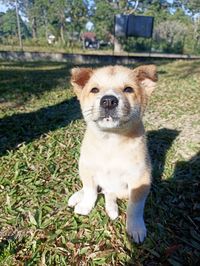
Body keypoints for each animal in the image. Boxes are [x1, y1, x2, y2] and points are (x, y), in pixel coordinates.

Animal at [68, 65, 157, 243]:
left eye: (128, 89)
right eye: (94, 90)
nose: (108, 100)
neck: (110, 142)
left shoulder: (140, 179)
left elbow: (135, 207)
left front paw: (135, 228)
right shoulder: (86, 168)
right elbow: (90, 191)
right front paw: (85, 206)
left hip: (123, 190)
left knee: (110, 193)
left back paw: (112, 209)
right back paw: (77, 197)